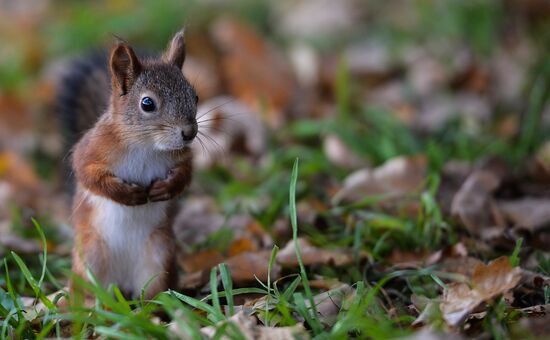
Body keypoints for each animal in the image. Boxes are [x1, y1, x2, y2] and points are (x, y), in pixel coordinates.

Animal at [57, 29, 198, 300]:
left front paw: (167, 188)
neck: (145, 145)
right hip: (90, 256)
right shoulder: (90, 150)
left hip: (159, 255)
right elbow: (87, 174)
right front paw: (126, 195)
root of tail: (121, 283)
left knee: (153, 291)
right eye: (147, 103)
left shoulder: (180, 156)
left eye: (195, 96)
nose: (189, 133)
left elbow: (186, 173)